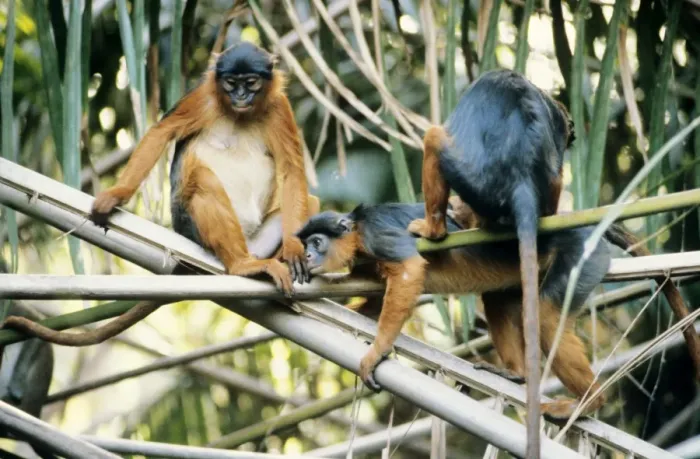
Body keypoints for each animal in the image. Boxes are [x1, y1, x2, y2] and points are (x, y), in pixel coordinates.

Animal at [89, 41, 315, 295]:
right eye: (231, 83)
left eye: (251, 82)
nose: (240, 95)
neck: (241, 116)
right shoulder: (204, 97)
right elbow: (161, 132)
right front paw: (117, 194)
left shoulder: (279, 106)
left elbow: (291, 170)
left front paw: (294, 249)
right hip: (190, 227)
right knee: (203, 179)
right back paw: (242, 266)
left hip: (260, 244)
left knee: (311, 201)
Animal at [294, 201, 698, 423]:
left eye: (316, 242)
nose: (309, 255)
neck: (358, 233)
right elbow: (376, 300)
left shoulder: (378, 234)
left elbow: (409, 272)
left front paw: (376, 353)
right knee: (498, 298)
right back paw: (517, 375)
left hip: (583, 255)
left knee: (546, 314)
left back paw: (589, 402)